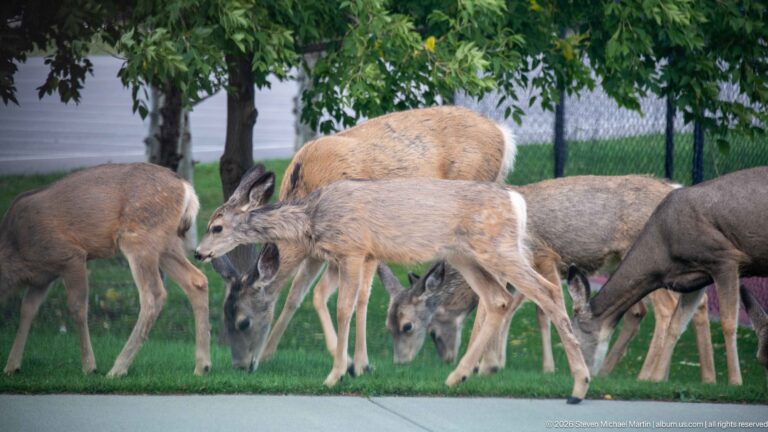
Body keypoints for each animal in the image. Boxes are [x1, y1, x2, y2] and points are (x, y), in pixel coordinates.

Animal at [0, 163, 210, 377]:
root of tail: (187, 189)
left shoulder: (71, 255)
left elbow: (77, 307)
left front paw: (89, 366)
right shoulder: (43, 278)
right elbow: (27, 309)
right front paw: (12, 366)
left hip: (138, 238)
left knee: (154, 295)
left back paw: (118, 368)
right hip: (167, 244)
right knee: (197, 280)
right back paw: (202, 366)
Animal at [196, 175, 592, 403]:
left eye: (216, 226)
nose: (198, 252)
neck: (313, 218)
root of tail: (517, 202)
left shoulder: (353, 249)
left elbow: (344, 307)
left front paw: (336, 374)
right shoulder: (357, 255)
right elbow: (353, 304)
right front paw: (353, 366)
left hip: (498, 248)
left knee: (547, 291)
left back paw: (579, 385)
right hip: (464, 254)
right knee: (499, 299)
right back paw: (456, 376)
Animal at [204, 106, 518, 374]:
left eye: (243, 322)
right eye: (224, 316)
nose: (241, 366)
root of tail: (503, 133)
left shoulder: (359, 243)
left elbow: (360, 298)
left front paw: (358, 364)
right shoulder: (317, 250)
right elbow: (299, 295)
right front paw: (270, 354)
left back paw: (478, 365)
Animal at [381, 175, 715, 382]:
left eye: (410, 326)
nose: (446, 358)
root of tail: (673, 185)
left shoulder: (541, 256)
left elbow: (528, 308)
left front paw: (485, 365)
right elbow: (517, 309)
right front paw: (492, 364)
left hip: (650, 260)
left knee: (666, 308)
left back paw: (648, 375)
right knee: (676, 306)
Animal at [566, 166, 768, 385]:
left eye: (576, 341)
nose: (581, 375)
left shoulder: (725, 259)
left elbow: (729, 323)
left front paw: (735, 382)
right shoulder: (694, 279)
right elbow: (676, 326)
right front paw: (656, 379)